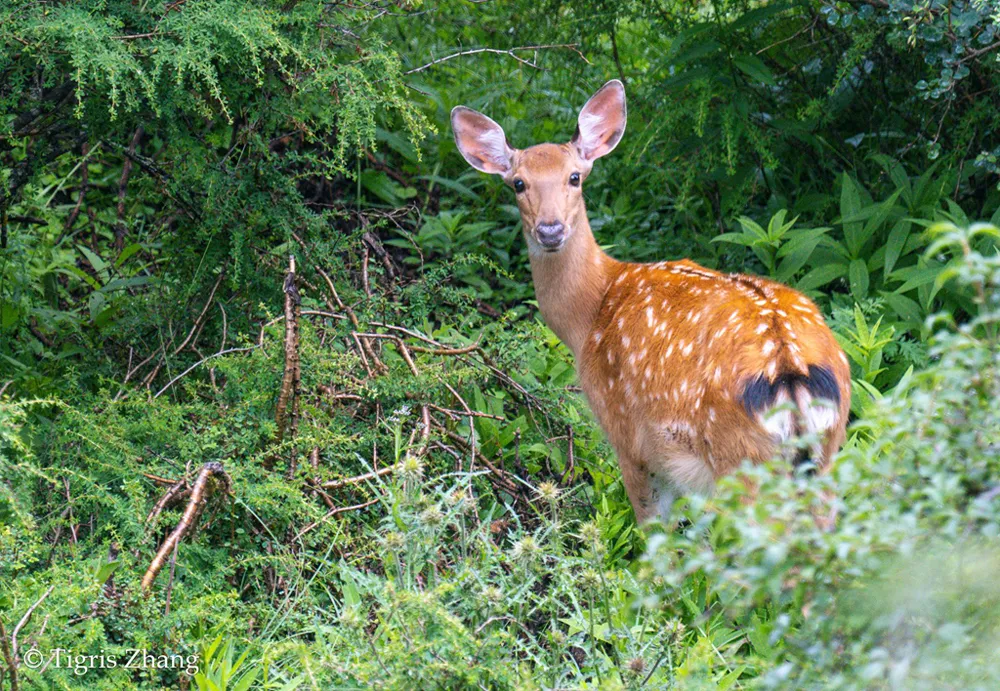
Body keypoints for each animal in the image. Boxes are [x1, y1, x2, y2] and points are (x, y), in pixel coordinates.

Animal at [454, 81, 852, 524]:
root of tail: (790, 368)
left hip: (740, 460)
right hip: (825, 456)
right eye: (518, 183)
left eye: (574, 177)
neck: (592, 312)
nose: (550, 229)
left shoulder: (625, 432)